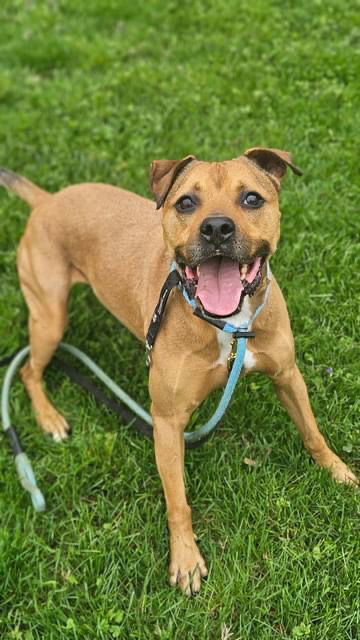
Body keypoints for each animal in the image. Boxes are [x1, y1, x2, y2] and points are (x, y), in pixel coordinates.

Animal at [0, 149, 358, 596]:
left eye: (252, 199)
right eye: (186, 202)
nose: (217, 228)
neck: (228, 325)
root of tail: (47, 200)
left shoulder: (288, 375)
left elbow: (312, 432)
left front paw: (339, 472)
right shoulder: (167, 422)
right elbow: (178, 501)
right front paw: (185, 559)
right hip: (50, 318)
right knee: (29, 370)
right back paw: (49, 418)